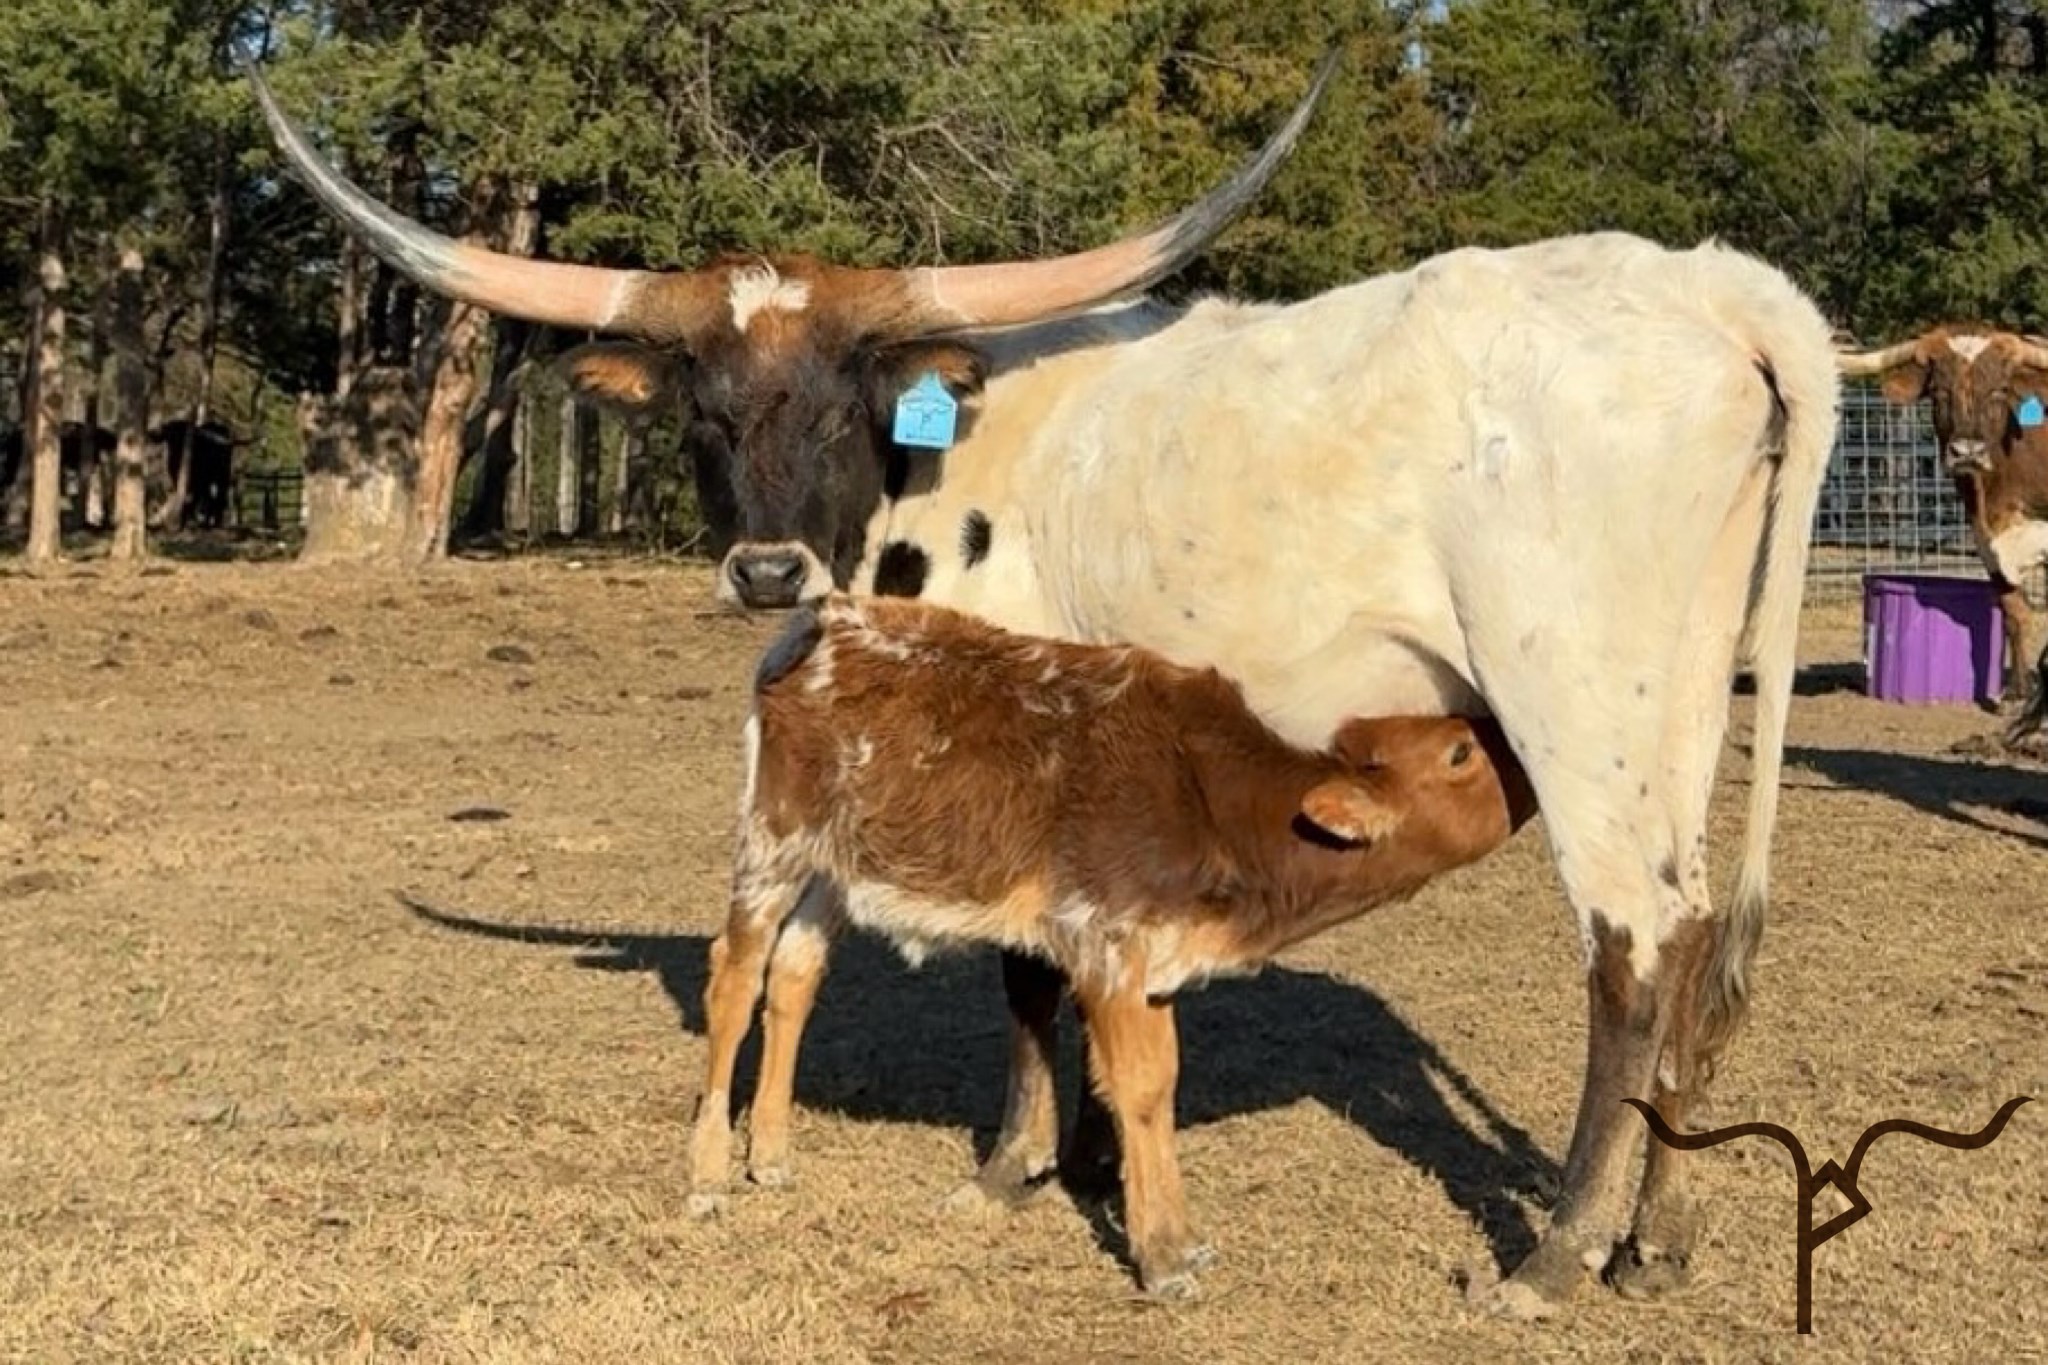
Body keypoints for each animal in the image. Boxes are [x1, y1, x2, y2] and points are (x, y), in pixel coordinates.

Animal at [688, 594, 1540, 1296]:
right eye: (1460, 753)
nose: (1524, 749)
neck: (1217, 809)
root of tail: (821, 616)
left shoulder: (1154, 961)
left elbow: (1161, 1084)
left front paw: (1180, 1241)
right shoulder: (1105, 944)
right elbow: (1137, 1087)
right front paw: (1161, 1259)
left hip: (837, 867)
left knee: (794, 973)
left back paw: (770, 1153)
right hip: (773, 836)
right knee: (734, 976)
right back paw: (707, 1171)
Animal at [1838, 326, 2048, 712]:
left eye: (1999, 390)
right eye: (1938, 391)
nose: (1968, 452)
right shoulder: (1984, 535)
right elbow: (2014, 611)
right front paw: (2017, 694)